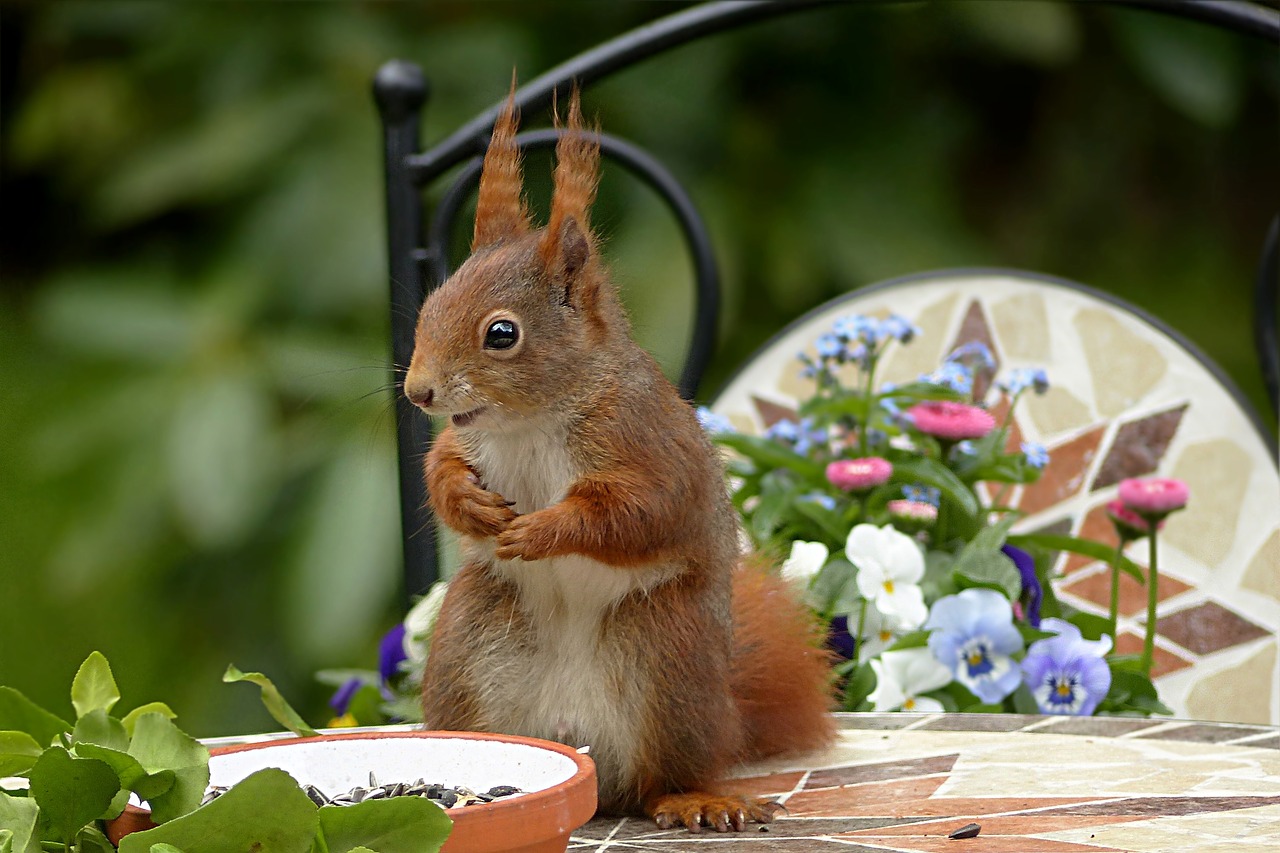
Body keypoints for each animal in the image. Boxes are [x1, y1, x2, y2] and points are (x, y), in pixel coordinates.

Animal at [404, 86, 834, 829]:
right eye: (430, 304)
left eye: (501, 334)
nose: (417, 390)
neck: (531, 420)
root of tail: (586, 752)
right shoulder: (465, 437)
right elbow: (441, 470)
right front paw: (470, 502)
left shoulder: (645, 441)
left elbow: (637, 511)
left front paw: (542, 530)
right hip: (467, 651)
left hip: (669, 664)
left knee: (666, 775)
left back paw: (696, 796)